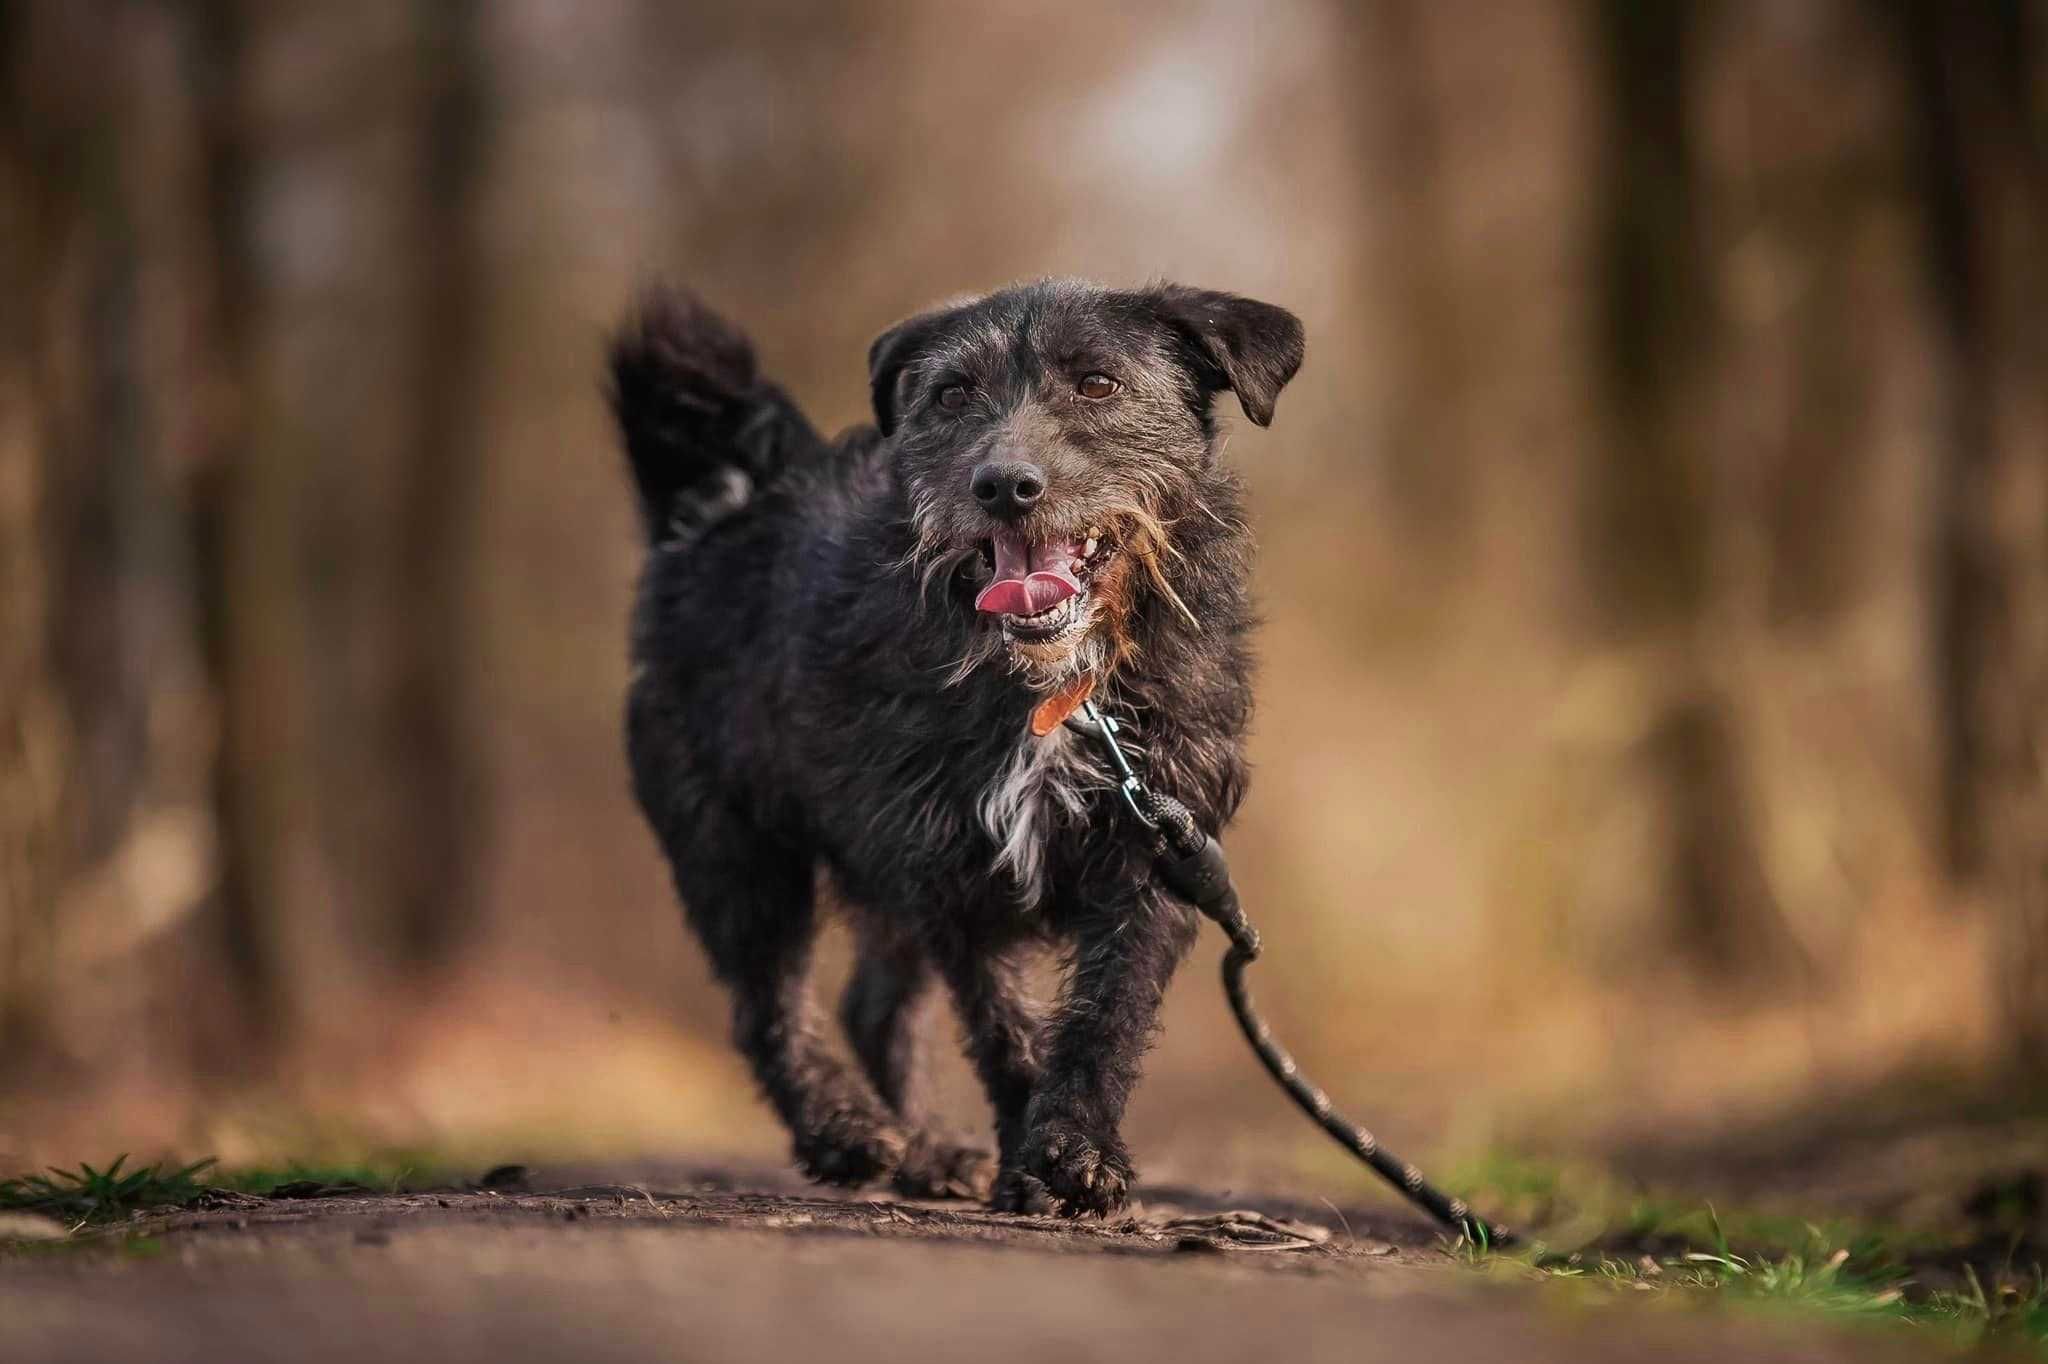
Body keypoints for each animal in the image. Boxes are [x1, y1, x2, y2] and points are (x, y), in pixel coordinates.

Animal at [610, 278, 1310, 1212]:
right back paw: (845, 1131)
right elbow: (1004, 1028)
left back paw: (930, 1150)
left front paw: (1074, 1151)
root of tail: (715, 509)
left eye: (1097, 383)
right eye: (951, 395)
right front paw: (1028, 1159)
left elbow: (1109, 1011)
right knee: (769, 1002)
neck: (1058, 690)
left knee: (872, 1006)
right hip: (735, 845)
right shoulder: (951, 865)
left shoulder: (1157, 847)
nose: (1005, 485)